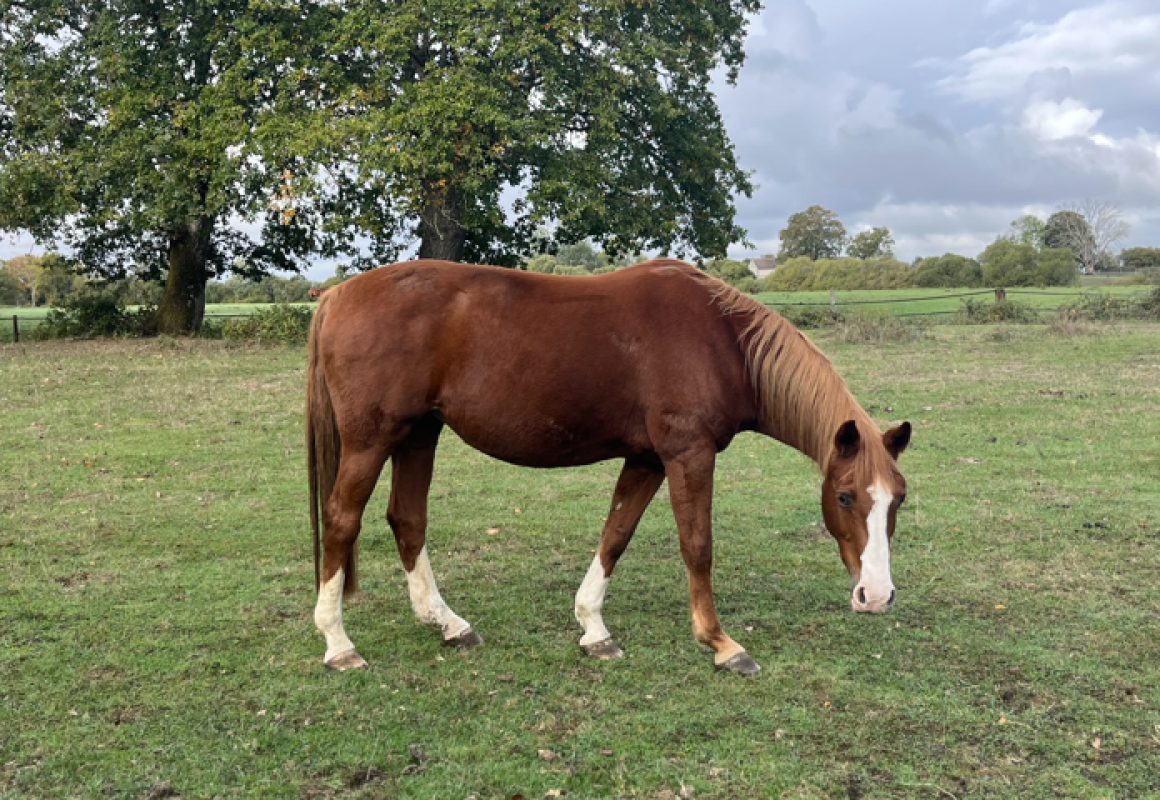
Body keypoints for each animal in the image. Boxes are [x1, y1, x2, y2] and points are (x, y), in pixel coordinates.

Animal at [307, 259, 911, 676]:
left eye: (899, 499)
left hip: (419, 435)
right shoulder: (687, 454)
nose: (877, 596)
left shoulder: (646, 459)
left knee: (407, 521)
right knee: (341, 521)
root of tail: (335, 295)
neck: (722, 340)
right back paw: (338, 644)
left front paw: (593, 629)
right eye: (844, 497)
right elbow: (698, 545)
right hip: (372, 440)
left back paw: (448, 624)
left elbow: (615, 534)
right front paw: (720, 643)